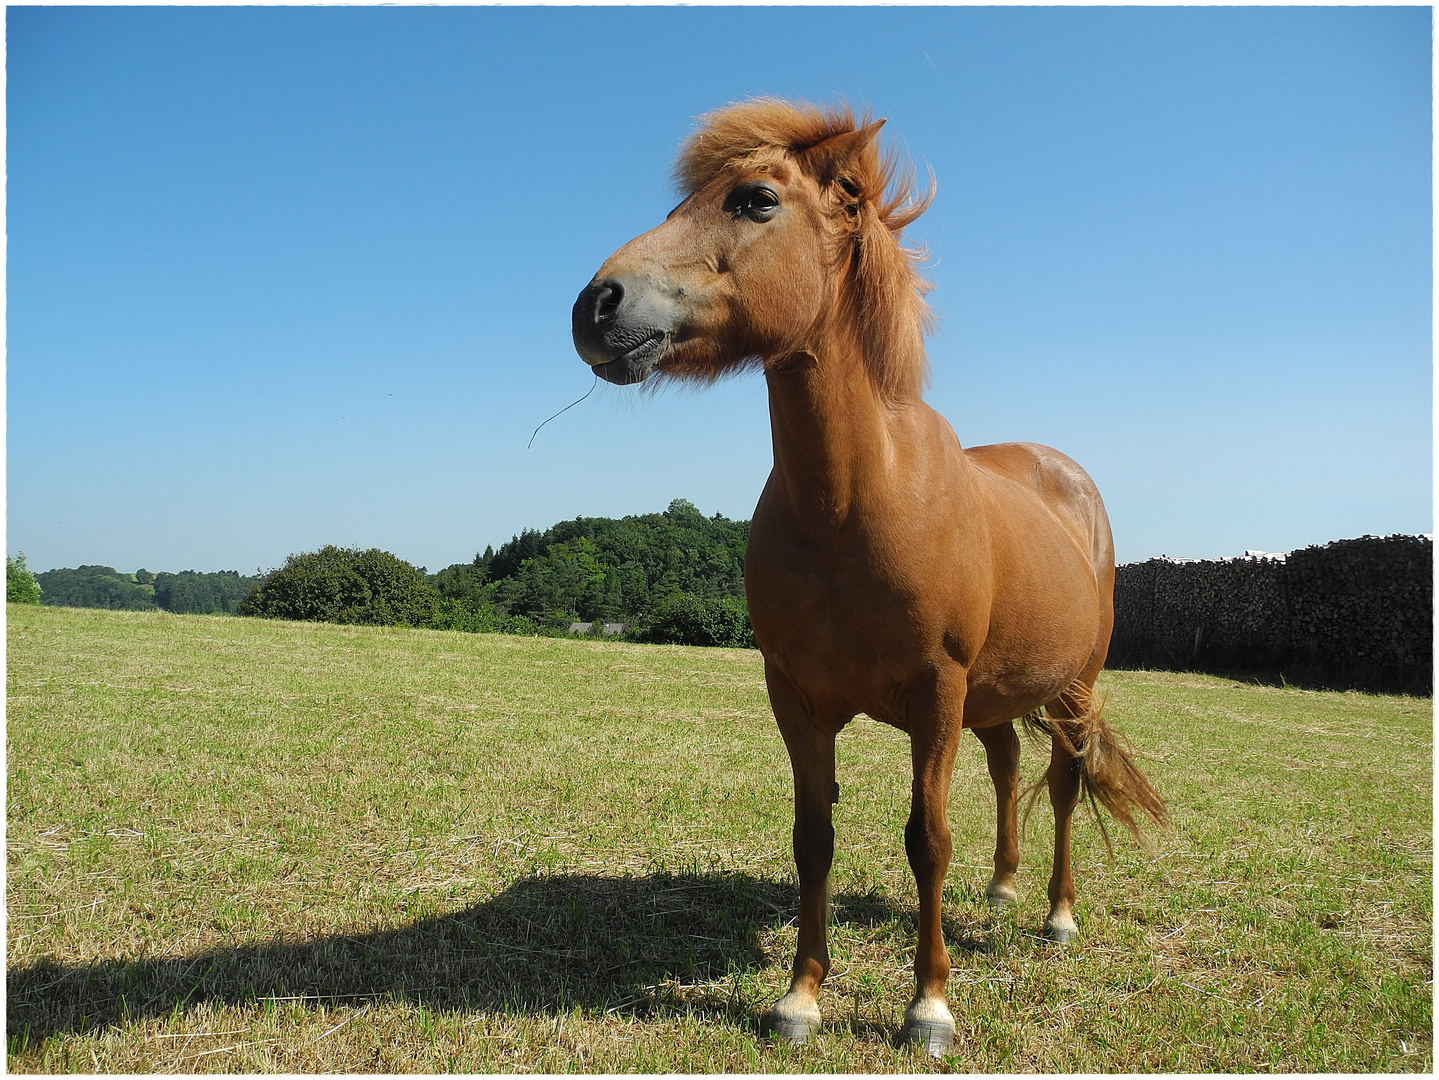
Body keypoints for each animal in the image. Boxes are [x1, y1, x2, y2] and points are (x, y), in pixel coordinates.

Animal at [566, 97, 1162, 1058]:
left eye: (755, 199)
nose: (596, 304)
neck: (852, 501)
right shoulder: (797, 697)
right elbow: (813, 836)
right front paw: (799, 998)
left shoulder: (935, 693)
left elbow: (927, 840)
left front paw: (928, 1007)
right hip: (997, 695)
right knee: (1006, 765)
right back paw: (1001, 888)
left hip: (1072, 687)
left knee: (1066, 787)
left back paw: (1055, 916)